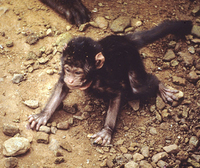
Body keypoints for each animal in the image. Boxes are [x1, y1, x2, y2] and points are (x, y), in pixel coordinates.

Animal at [27, 20, 192, 145]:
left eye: (78, 72)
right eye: (68, 69)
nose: (71, 79)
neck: (93, 76)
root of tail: (124, 39)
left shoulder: (106, 79)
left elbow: (118, 93)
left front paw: (107, 130)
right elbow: (62, 86)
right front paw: (43, 115)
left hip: (133, 58)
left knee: (138, 87)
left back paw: (159, 86)